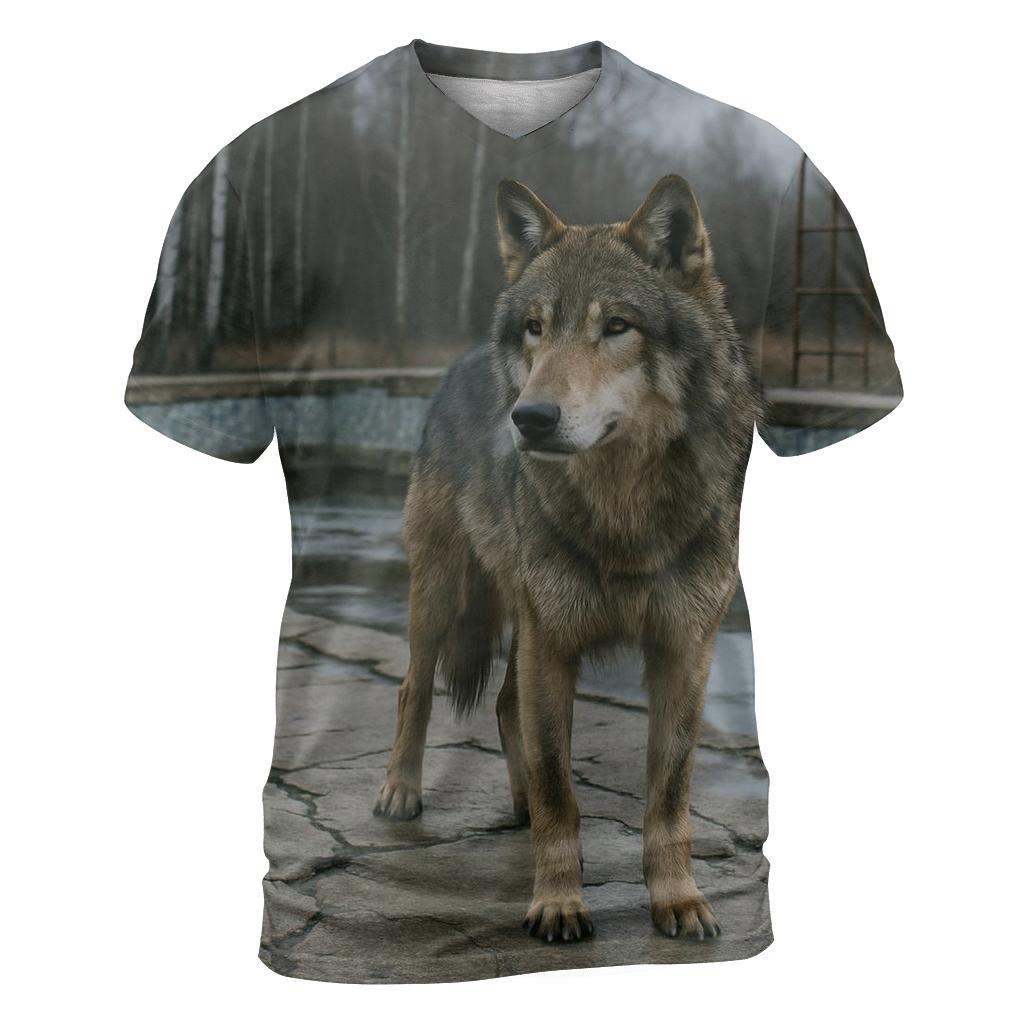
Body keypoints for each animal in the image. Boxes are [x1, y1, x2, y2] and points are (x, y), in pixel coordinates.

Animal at [373, 175, 759, 943]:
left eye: (616, 327)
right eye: (536, 328)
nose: (530, 418)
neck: (625, 512)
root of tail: (461, 362)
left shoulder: (684, 650)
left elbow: (669, 795)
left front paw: (677, 898)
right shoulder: (553, 644)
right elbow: (560, 786)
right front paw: (557, 901)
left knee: (502, 704)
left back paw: (517, 808)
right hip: (444, 594)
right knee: (415, 691)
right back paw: (401, 792)